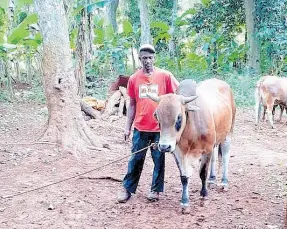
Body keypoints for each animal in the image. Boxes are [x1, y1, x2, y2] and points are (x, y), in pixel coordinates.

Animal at [148, 78, 236, 213]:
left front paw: (203, 197)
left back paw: (224, 182)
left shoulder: (206, 150)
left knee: (225, 157)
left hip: (228, 134)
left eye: (179, 117)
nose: (164, 146)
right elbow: (184, 177)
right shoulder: (178, 152)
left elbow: (202, 173)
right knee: (215, 158)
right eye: (156, 116)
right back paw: (212, 179)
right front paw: (185, 202)